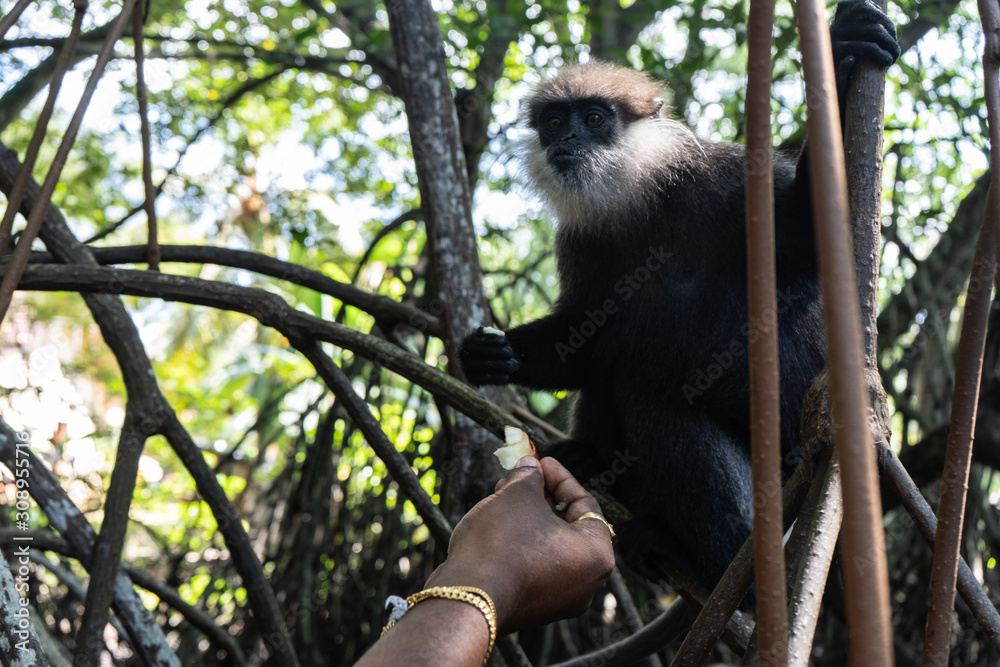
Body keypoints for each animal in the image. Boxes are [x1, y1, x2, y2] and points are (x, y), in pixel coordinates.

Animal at [460, 0, 900, 596]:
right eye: (554, 121)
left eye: (593, 119)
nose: (564, 142)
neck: (639, 201)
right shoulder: (583, 240)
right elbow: (586, 337)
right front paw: (492, 354)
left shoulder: (726, 179)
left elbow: (813, 237)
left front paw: (843, 54)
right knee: (621, 359)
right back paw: (594, 460)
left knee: (654, 397)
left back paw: (734, 574)